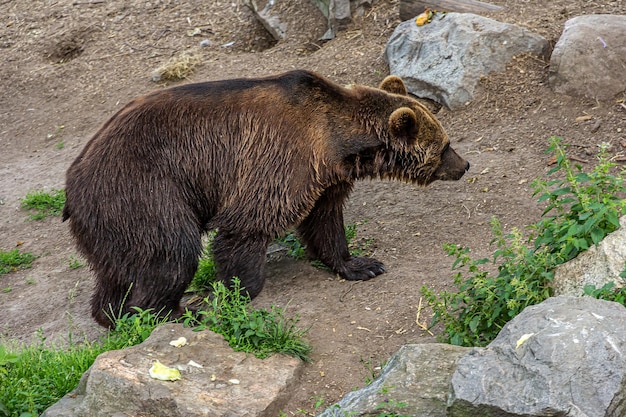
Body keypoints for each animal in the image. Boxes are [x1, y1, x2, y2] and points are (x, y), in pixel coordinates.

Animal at [62, 70, 468, 326]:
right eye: (445, 146)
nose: (464, 165)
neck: (334, 142)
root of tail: (71, 184)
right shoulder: (279, 160)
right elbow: (246, 226)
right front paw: (237, 291)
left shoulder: (325, 180)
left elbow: (325, 222)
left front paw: (361, 264)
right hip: (144, 191)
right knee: (172, 250)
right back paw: (172, 312)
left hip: (112, 221)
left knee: (119, 269)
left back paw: (113, 314)